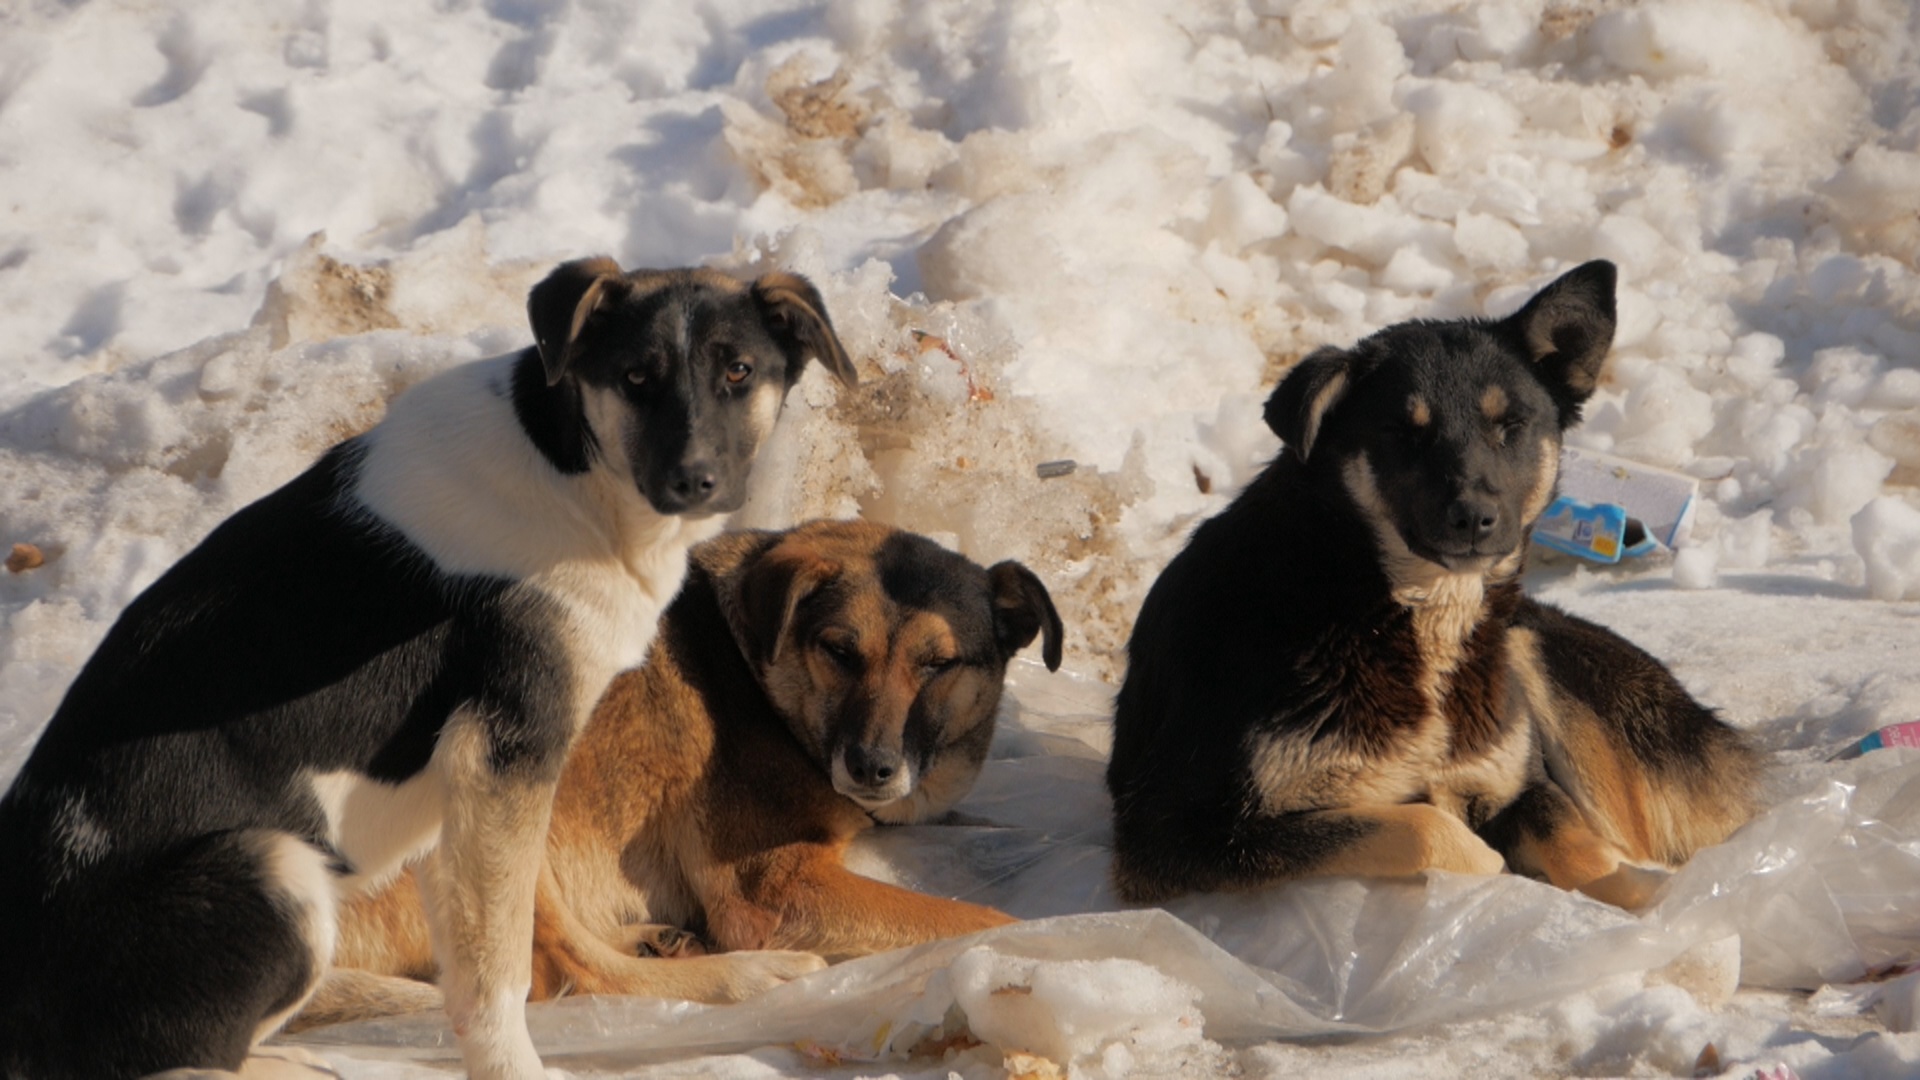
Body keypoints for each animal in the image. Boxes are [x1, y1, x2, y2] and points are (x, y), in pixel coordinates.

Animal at [0, 253, 856, 1076]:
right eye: (635, 377)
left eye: (738, 371)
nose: (694, 481)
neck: (573, 470)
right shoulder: (502, 757)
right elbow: (497, 978)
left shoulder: (454, 796)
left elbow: (487, 954)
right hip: (276, 868)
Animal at [295, 515, 1067, 1022]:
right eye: (839, 650)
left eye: (938, 664)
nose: (871, 768)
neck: (758, 670)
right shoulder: (774, 890)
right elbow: (971, 916)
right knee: (560, 974)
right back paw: (753, 977)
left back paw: (655, 940)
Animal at [1113, 261, 1758, 907]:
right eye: (1403, 431)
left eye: (1510, 426)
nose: (1474, 517)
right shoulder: (1176, 835)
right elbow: (1429, 830)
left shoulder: (1520, 784)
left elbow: (1583, 849)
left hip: (1534, 655)